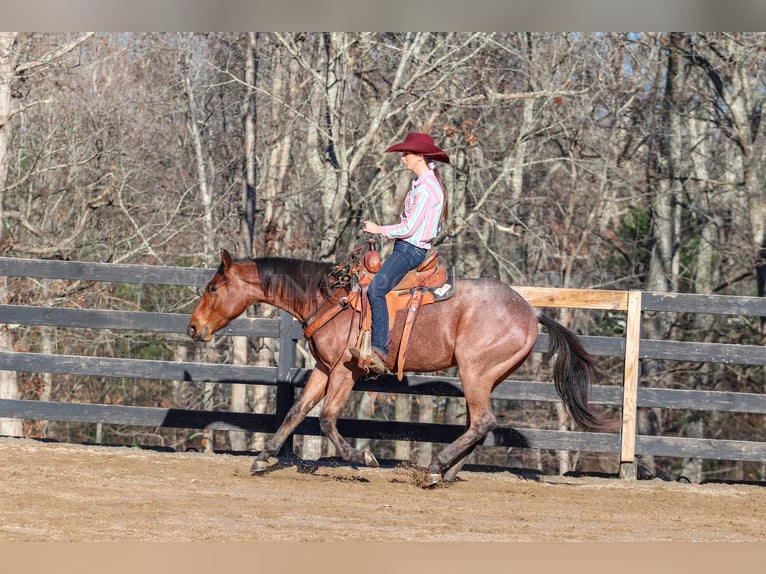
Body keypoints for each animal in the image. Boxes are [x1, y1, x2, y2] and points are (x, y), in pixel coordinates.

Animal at [186, 250, 612, 488]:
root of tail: (530, 311)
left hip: (475, 372)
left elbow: (326, 418)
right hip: (487, 376)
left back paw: (437, 467)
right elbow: (296, 411)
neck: (328, 298)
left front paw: (362, 457)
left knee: (482, 421)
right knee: (480, 424)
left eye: (212, 288)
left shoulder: (346, 371)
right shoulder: (324, 368)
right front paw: (263, 456)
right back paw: (446, 472)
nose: (194, 328)